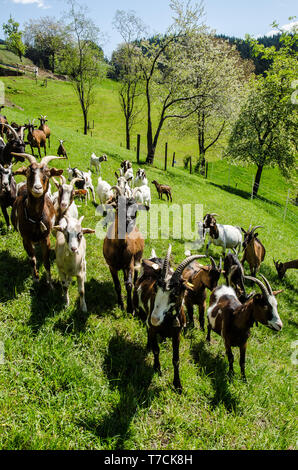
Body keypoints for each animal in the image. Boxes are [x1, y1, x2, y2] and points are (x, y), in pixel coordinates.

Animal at [11, 152, 63, 282]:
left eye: (48, 173)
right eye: (28, 172)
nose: (37, 188)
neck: (35, 219)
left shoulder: (46, 238)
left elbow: (46, 261)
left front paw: (49, 282)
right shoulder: (26, 239)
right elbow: (32, 259)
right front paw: (35, 278)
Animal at [103, 185, 149, 314]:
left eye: (136, 211)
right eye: (118, 207)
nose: (128, 222)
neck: (119, 247)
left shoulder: (130, 263)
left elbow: (129, 285)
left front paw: (130, 308)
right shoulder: (112, 266)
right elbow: (117, 285)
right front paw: (120, 304)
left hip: (137, 259)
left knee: (135, 278)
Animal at [134, 246, 206, 392]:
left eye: (175, 293)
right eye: (155, 287)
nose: (154, 319)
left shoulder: (177, 334)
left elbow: (176, 359)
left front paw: (178, 385)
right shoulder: (153, 328)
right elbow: (156, 349)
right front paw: (157, 368)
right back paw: (148, 344)